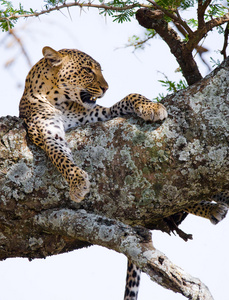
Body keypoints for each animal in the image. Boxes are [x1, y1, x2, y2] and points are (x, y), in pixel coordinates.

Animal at [19, 47, 227, 300]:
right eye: (87, 70)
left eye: (99, 70)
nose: (106, 88)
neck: (61, 101)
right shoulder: (46, 132)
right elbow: (60, 157)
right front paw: (78, 183)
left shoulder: (98, 115)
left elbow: (131, 95)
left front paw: (152, 108)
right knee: (182, 197)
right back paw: (214, 209)